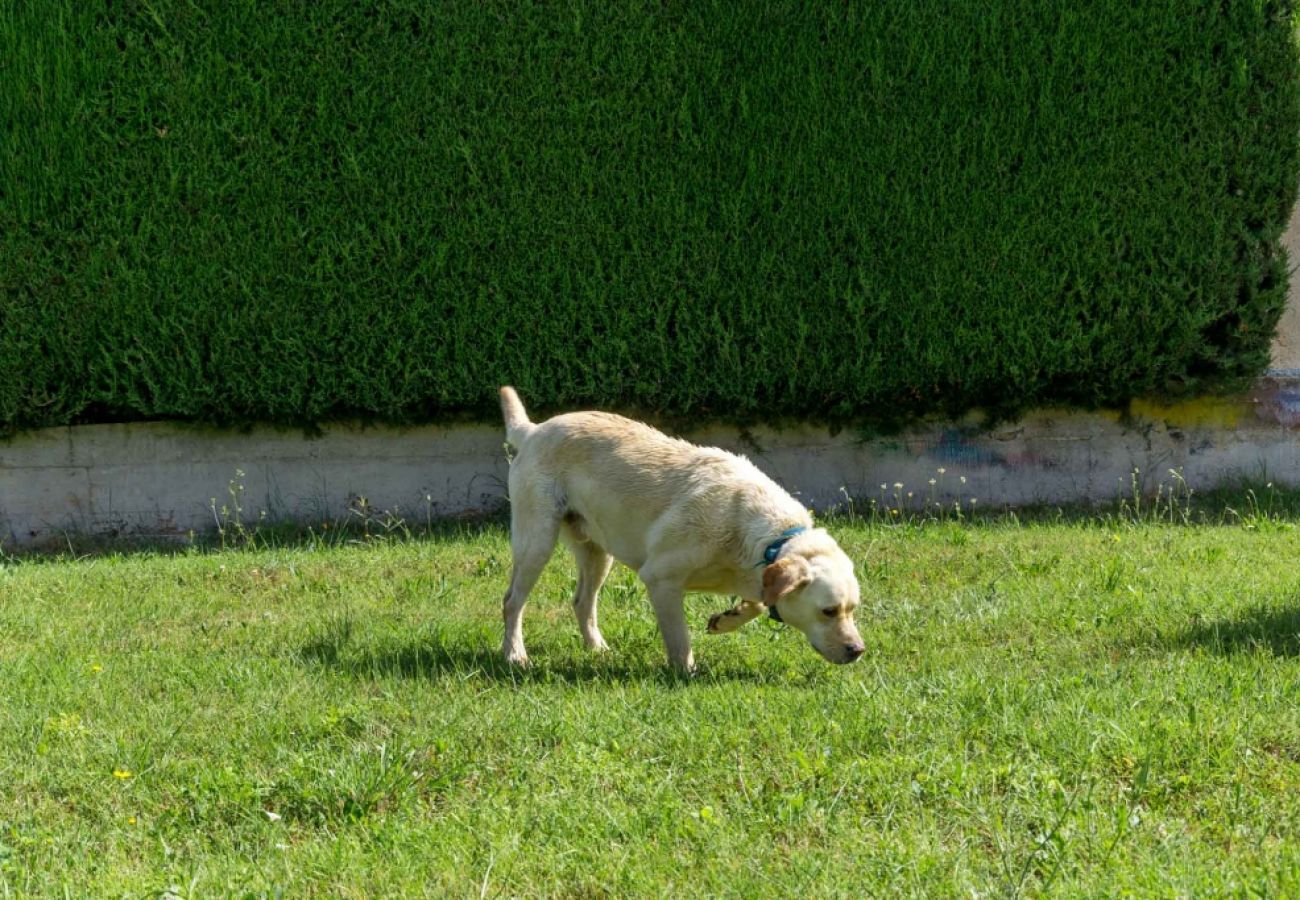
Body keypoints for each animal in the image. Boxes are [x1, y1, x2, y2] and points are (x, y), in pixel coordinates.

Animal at [496, 387, 863, 676]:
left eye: (852, 609)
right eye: (828, 611)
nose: (858, 650)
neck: (766, 538)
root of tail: (534, 430)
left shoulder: (758, 576)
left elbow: (759, 604)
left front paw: (728, 619)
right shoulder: (661, 579)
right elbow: (679, 638)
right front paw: (685, 673)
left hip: (598, 553)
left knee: (582, 602)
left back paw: (598, 649)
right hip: (537, 541)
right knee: (512, 601)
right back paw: (515, 655)